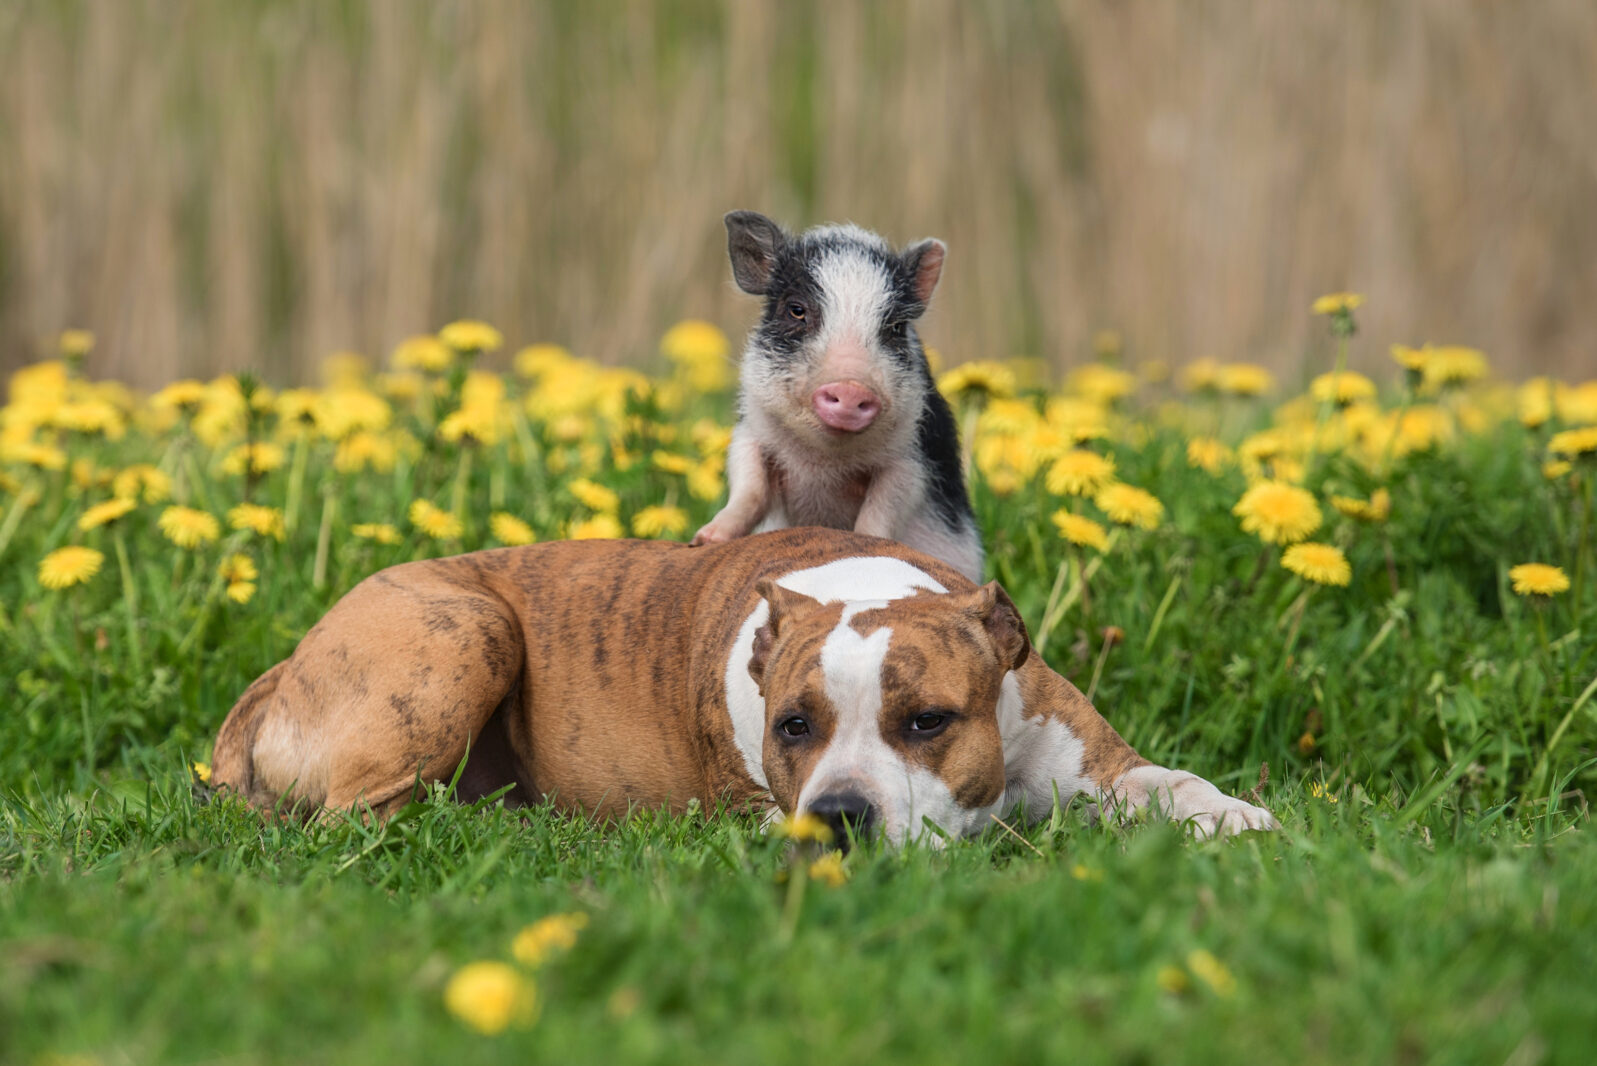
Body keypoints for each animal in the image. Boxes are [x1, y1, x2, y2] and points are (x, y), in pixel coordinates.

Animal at [212, 529, 1277, 842]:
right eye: (791, 727)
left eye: (928, 720)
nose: (840, 816)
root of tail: (283, 668)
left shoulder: (1090, 758)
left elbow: (1166, 782)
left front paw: (1232, 815)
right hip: (465, 630)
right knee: (356, 818)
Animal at [689, 210, 983, 584]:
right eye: (796, 309)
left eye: (896, 327)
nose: (851, 387)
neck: (823, 462)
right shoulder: (750, 430)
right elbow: (748, 487)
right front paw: (703, 540)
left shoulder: (912, 459)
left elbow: (879, 514)